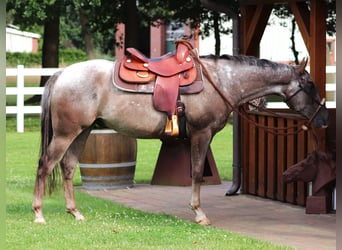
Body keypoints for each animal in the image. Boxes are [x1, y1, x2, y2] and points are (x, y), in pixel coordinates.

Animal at [32, 52, 328, 225]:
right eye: (309, 84)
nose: (323, 119)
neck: (221, 80)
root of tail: (62, 73)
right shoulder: (201, 133)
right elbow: (196, 172)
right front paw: (199, 213)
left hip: (83, 131)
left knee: (67, 167)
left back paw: (74, 212)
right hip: (66, 134)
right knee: (45, 165)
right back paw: (38, 214)